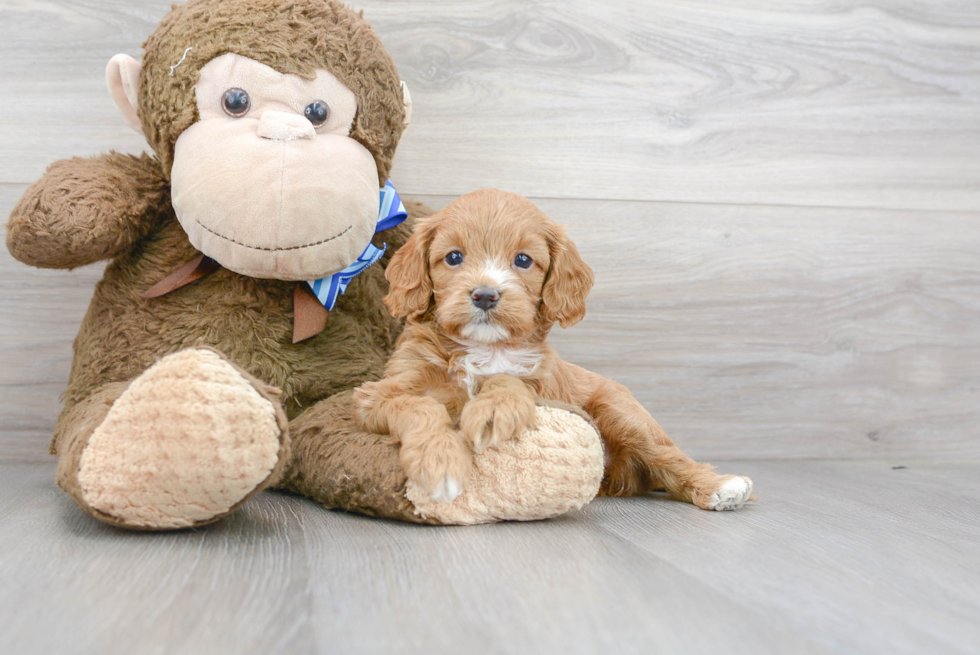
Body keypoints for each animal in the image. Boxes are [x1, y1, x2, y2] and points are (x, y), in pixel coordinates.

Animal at [356, 187, 756, 510]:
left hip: (621, 412)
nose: (485, 295)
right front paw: (440, 463)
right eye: (453, 257)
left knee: (668, 457)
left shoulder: (543, 385)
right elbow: (421, 406)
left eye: (522, 260)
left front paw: (492, 409)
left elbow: (509, 381)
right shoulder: (379, 394)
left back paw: (721, 486)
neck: (483, 348)